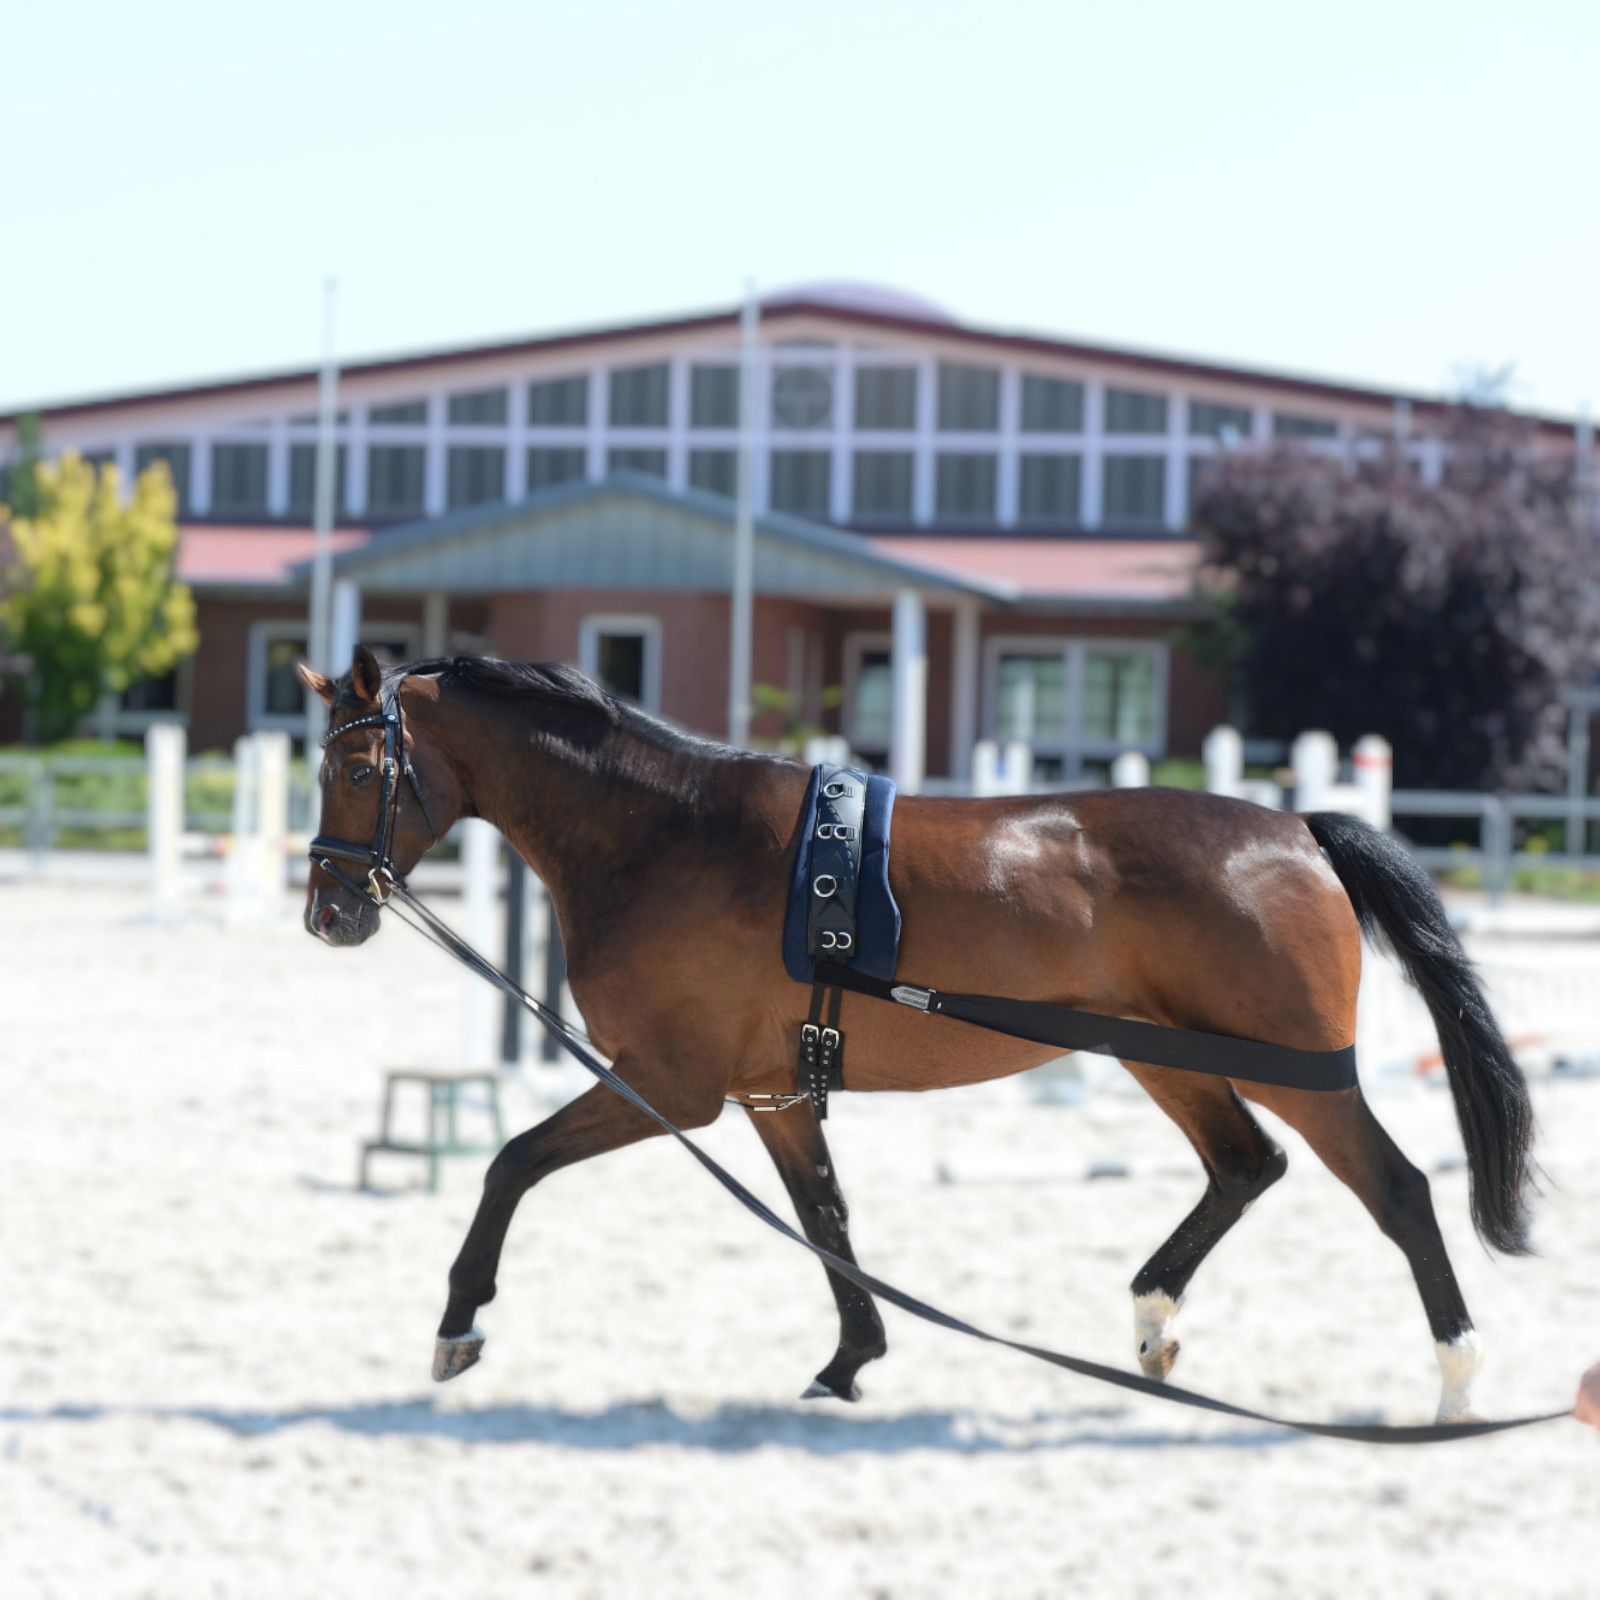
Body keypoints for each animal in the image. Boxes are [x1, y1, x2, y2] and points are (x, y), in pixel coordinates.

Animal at [300, 649, 1536, 1427]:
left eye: (358, 768)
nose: (330, 913)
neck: (664, 833)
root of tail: (1296, 830)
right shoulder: (770, 1092)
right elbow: (826, 1217)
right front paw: (851, 1360)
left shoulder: (670, 1084)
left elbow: (509, 1163)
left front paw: (458, 1324)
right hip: (1163, 1055)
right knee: (1245, 1166)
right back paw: (1151, 1322)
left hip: (1294, 1072)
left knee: (1397, 1190)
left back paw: (1458, 1379)